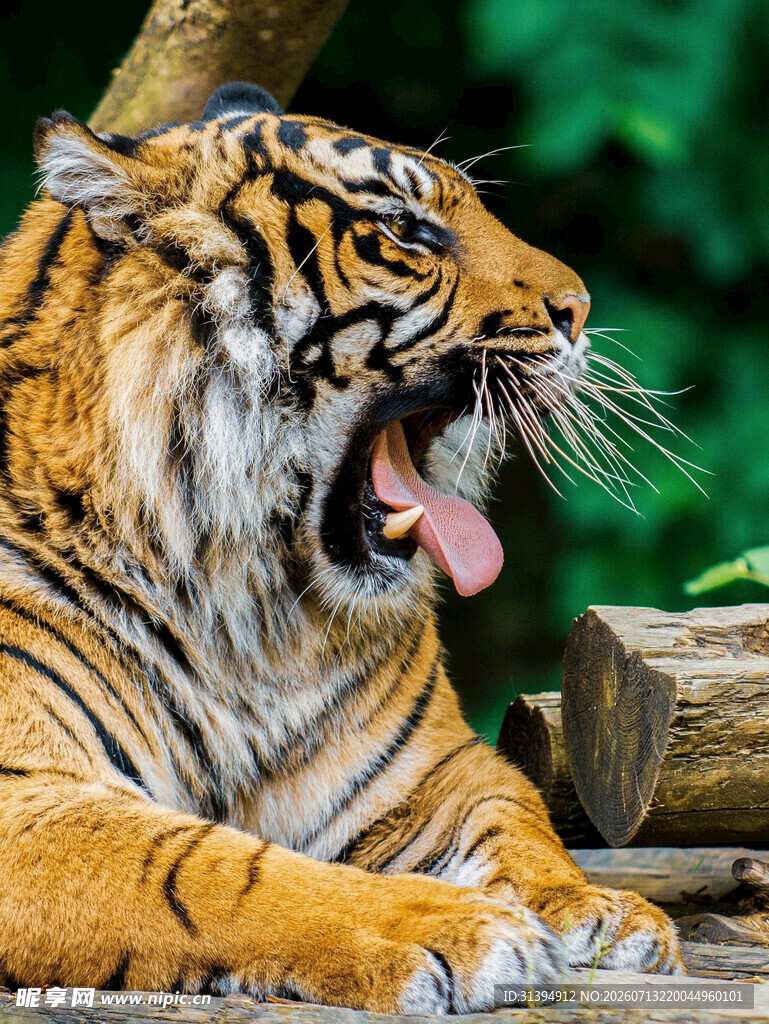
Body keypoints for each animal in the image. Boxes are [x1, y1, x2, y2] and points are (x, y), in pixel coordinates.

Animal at [0, 82, 681, 1013]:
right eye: (405, 229)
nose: (578, 312)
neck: (245, 608)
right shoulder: (28, 798)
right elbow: (215, 871)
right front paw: (451, 927)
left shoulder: (431, 772)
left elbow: (517, 819)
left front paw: (601, 913)